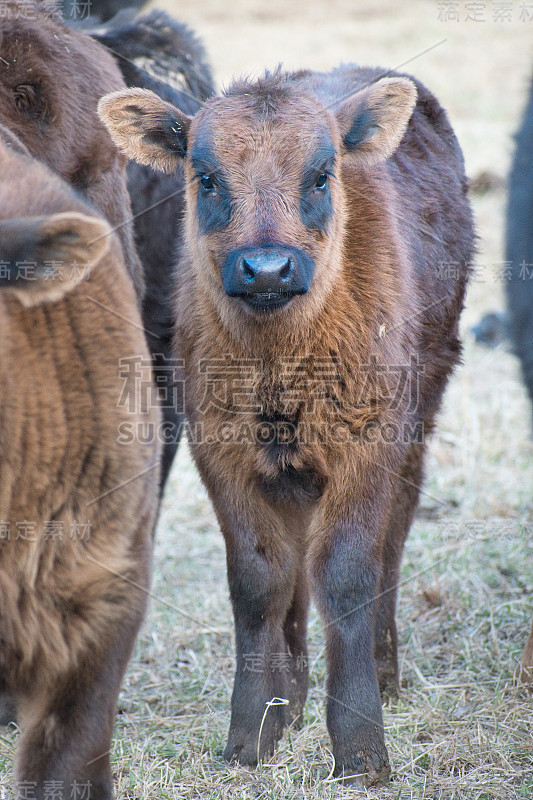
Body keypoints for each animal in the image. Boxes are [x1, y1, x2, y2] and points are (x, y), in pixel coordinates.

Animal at [100, 65, 474, 784]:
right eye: (205, 177)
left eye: (321, 175)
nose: (267, 268)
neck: (279, 362)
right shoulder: (223, 454)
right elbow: (259, 581)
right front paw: (252, 733)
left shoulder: (367, 447)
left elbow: (348, 574)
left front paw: (361, 750)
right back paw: (293, 699)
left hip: (421, 414)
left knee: (392, 540)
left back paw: (382, 673)